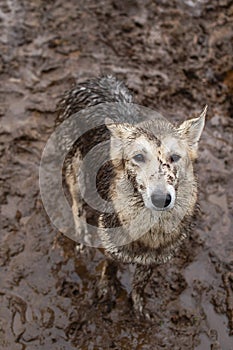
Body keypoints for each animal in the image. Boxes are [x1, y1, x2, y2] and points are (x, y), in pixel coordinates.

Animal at [57, 75, 208, 318]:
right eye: (138, 157)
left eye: (175, 157)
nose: (161, 199)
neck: (149, 232)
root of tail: (92, 80)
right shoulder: (112, 252)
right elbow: (108, 273)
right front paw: (104, 295)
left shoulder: (154, 262)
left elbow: (139, 287)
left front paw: (139, 309)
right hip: (76, 175)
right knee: (76, 208)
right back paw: (82, 237)